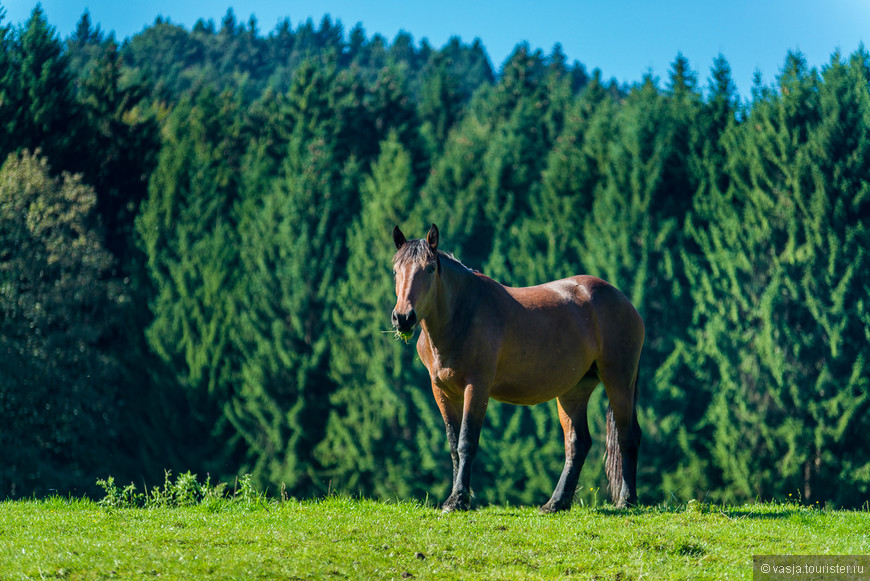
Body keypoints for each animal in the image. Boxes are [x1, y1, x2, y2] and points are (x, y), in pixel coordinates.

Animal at [392, 223, 644, 512]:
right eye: (396, 270)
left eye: (430, 268)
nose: (403, 317)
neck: (461, 315)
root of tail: (623, 300)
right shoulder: (442, 391)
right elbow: (454, 445)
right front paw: (456, 497)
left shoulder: (476, 387)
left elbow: (467, 442)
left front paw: (458, 499)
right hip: (574, 390)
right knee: (578, 443)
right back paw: (556, 502)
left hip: (619, 381)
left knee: (627, 436)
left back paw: (626, 500)